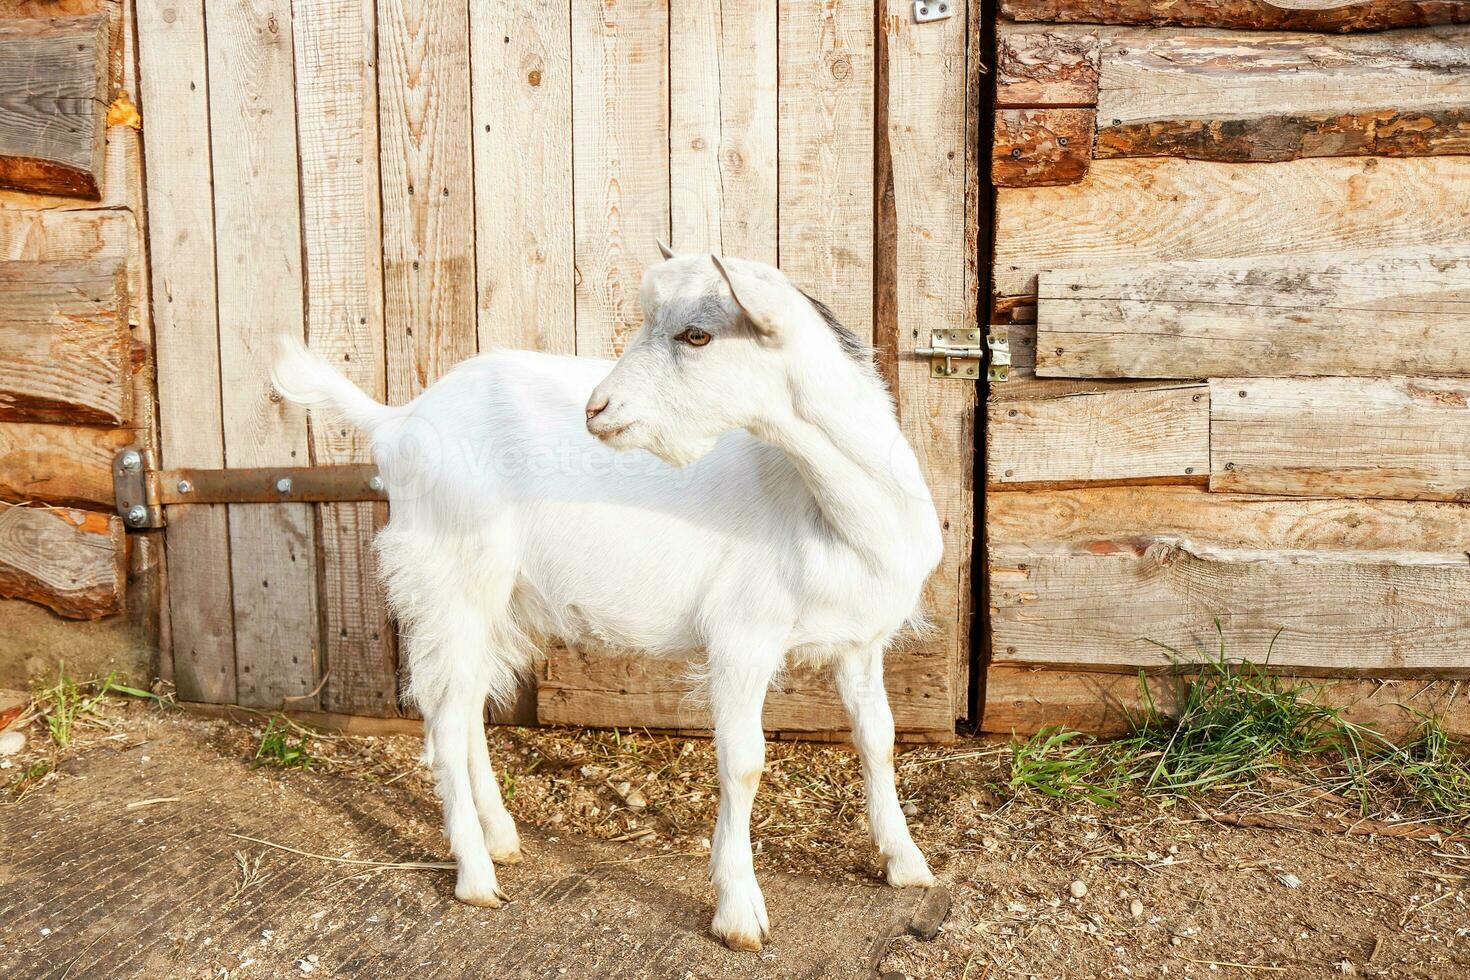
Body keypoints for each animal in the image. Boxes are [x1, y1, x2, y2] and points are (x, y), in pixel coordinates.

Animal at [274, 246, 940, 952]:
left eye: (696, 334)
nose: (596, 408)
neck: (833, 507)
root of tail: (399, 422)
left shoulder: (862, 642)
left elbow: (879, 738)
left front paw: (907, 863)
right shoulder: (743, 636)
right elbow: (745, 764)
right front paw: (738, 912)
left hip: (494, 598)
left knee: (468, 705)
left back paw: (501, 837)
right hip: (450, 579)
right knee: (445, 722)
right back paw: (476, 876)